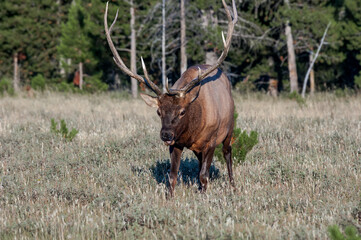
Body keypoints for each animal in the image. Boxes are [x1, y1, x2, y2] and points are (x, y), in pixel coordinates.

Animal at [104, 0, 238, 195]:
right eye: (158, 112)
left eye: (182, 112)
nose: (166, 134)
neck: (192, 130)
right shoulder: (176, 144)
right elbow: (172, 177)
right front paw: (170, 198)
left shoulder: (211, 141)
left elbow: (204, 176)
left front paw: (204, 196)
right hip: (197, 148)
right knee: (200, 164)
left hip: (229, 130)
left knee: (228, 154)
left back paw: (233, 186)